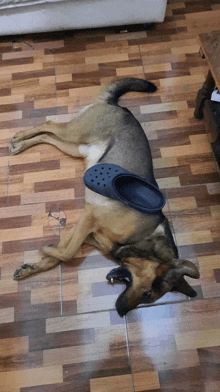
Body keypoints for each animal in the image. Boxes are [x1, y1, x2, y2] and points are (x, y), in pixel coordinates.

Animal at [11, 78, 199, 316]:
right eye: (147, 295)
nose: (121, 312)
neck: (143, 238)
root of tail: (118, 106)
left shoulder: (87, 229)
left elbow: (62, 252)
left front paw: (35, 265)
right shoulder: (90, 216)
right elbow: (68, 252)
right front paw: (46, 250)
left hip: (74, 147)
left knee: (47, 135)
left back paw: (21, 144)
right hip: (75, 133)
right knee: (49, 123)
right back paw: (19, 137)